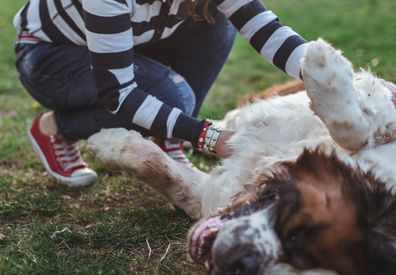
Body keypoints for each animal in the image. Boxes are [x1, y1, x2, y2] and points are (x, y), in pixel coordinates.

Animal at [88, 39, 396, 275]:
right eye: (295, 233)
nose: (242, 263)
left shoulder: (212, 195)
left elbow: (164, 172)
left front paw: (109, 145)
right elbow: (355, 127)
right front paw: (324, 62)